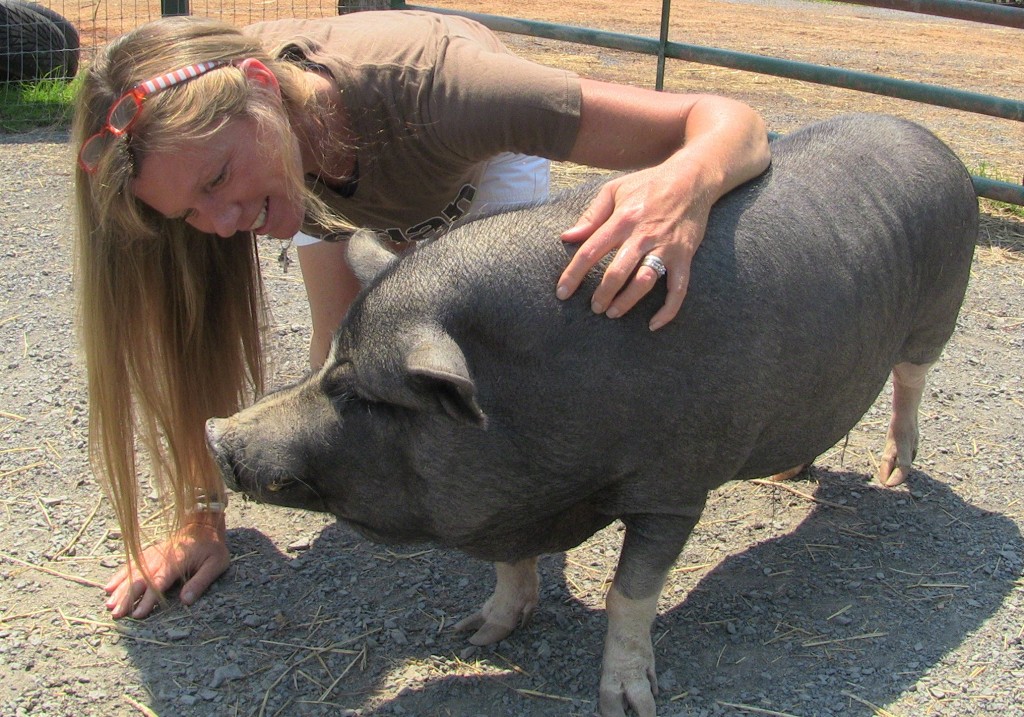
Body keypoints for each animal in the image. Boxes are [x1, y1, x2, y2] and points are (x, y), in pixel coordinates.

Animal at [206, 113, 977, 717]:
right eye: (329, 363)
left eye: (362, 393)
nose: (217, 432)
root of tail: (932, 138)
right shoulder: (507, 497)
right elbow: (512, 567)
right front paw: (472, 633)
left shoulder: (675, 486)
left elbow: (628, 593)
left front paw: (626, 702)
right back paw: (789, 474)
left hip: (939, 311)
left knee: (911, 381)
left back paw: (892, 476)